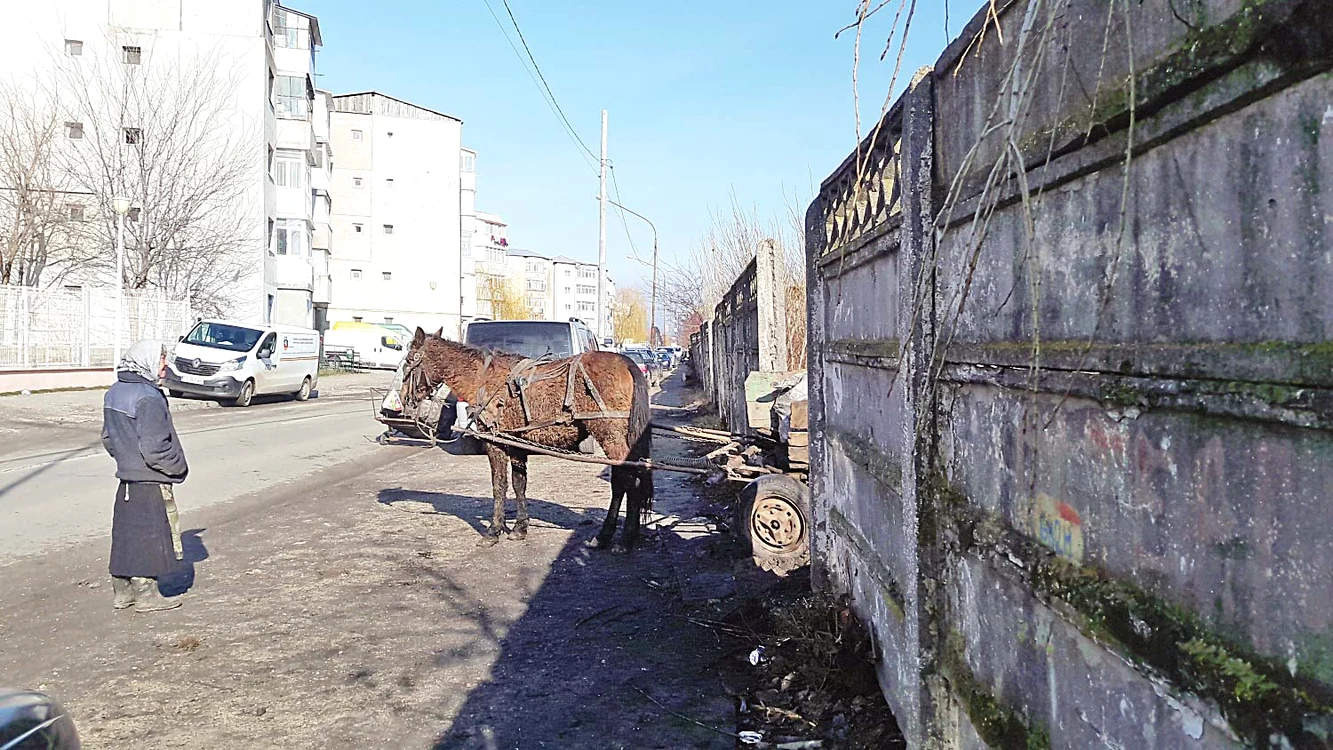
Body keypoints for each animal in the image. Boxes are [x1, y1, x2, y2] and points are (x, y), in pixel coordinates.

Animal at [398, 327, 654, 551]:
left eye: (410, 360)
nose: (403, 400)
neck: (483, 379)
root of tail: (627, 364)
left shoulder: (495, 442)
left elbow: (499, 485)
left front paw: (493, 531)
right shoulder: (516, 443)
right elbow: (518, 483)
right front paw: (520, 528)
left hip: (611, 437)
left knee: (627, 482)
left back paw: (622, 538)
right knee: (624, 481)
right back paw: (608, 536)